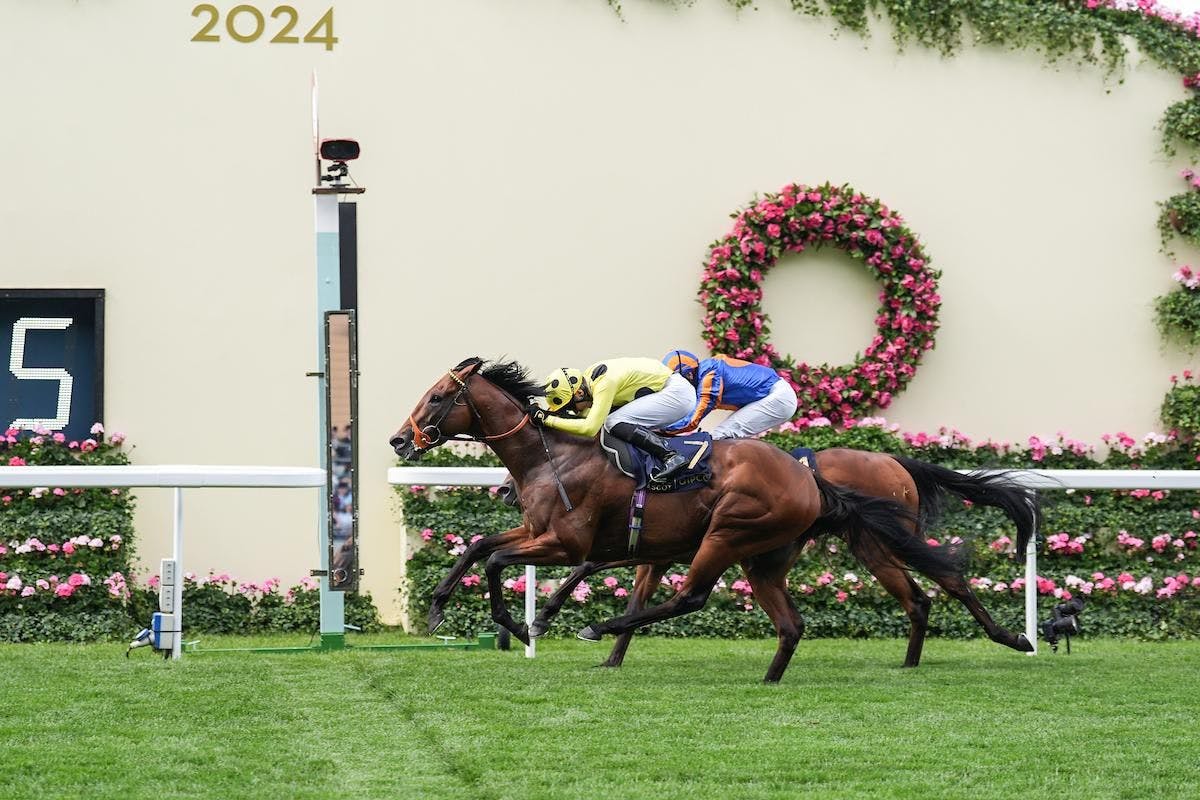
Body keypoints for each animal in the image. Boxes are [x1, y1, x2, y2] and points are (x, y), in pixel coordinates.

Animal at [388, 357, 969, 681]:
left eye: (437, 398)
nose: (398, 440)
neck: (551, 455)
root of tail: (809, 479)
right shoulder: (543, 532)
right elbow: (479, 545)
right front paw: (438, 607)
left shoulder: (569, 543)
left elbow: (499, 562)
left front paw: (520, 623)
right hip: (763, 557)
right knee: (789, 624)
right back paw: (769, 678)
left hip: (729, 532)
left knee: (692, 597)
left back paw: (599, 625)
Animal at [511, 450, 1036, 671]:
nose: (510, 493)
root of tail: (896, 463)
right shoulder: (656, 549)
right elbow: (619, 585)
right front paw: (606, 654)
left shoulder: (670, 545)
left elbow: (594, 568)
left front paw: (555, 620)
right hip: (874, 544)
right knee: (922, 597)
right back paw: (912, 662)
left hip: (880, 541)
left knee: (947, 580)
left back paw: (1012, 638)